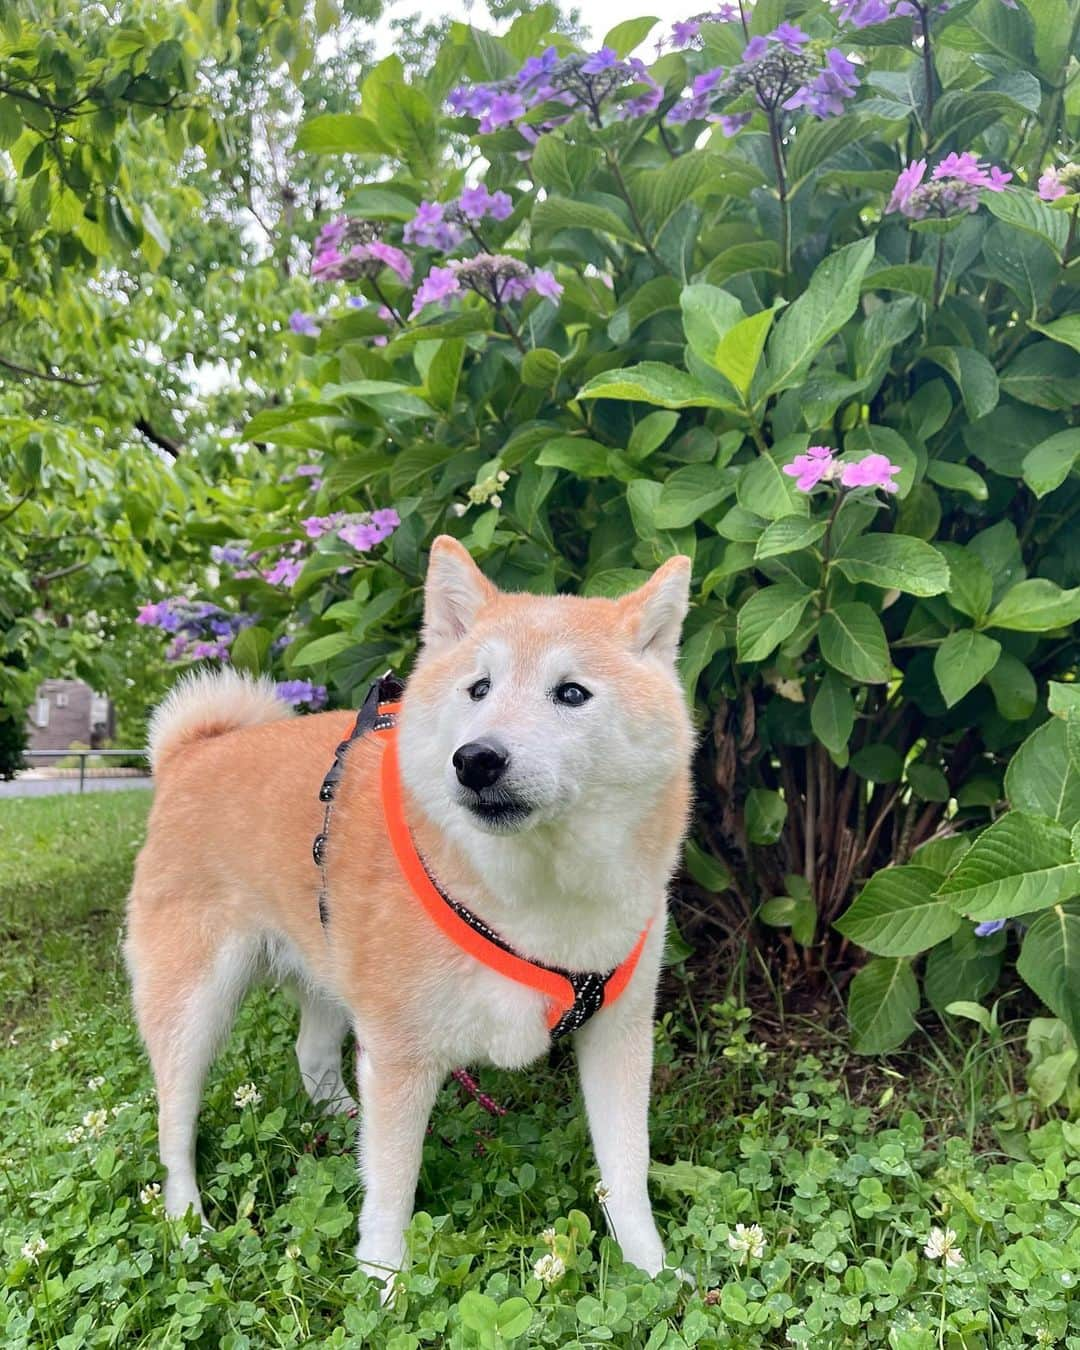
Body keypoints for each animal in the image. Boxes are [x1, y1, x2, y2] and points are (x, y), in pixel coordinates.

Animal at [122, 537, 696, 1296]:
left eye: (571, 692)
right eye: (478, 688)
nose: (477, 759)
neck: (535, 896)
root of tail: (192, 753)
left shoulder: (618, 1031)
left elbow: (627, 1173)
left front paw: (653, 1272)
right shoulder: (402, 1053)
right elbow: (392, 1190)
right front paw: (383, 1287)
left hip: (332, 965)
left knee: (312, 1055)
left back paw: (341, 1121)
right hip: (195, 1004)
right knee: (174, 1127)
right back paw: (188, 1224)